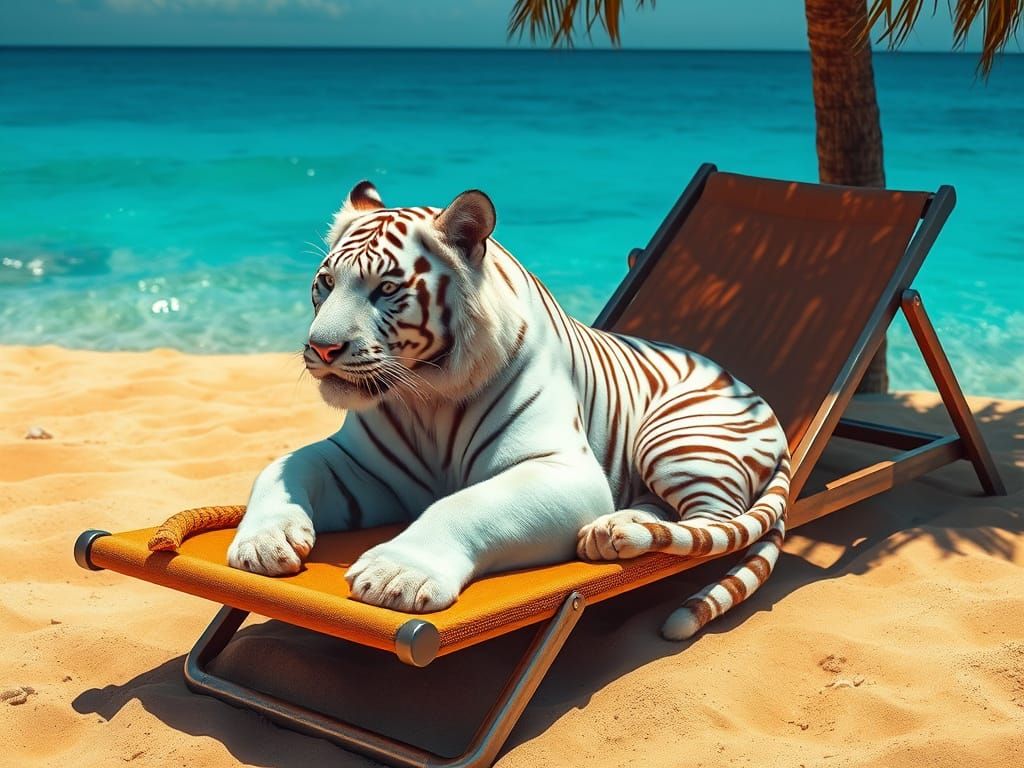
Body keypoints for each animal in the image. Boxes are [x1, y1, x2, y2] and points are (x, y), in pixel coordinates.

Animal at [224, 180, 791, 640]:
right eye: (325, 284)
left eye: (385, 289)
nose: (321, 349)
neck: (426, 396)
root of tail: (756, 394)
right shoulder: (364, 468)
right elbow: (280, 467)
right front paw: (262, 543)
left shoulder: (562, 468)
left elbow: (463, 505)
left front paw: (396, 574)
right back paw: (613, 528)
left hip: (675, 437)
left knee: (714, 522)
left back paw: (617, 533)